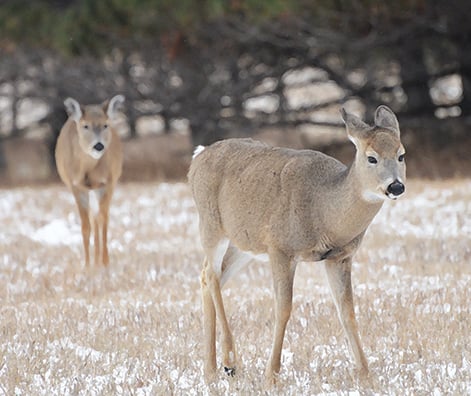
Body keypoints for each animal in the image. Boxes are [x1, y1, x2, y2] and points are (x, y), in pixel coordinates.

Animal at [54, 94, 124, 266]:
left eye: (105, 125)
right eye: (85, 126)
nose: (98, 146)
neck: (88, 170)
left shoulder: (107, 183)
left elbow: (103, 220)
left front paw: (104, 263)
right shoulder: (76, 186)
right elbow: (85, 226)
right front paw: (87, 266)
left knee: (98, 217)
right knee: (93, 218)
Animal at [188, 104, 406, 384]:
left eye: (401, 155)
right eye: (371, 158)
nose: (396, 186)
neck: (324, 210)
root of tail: (198, 156)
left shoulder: (340, 256)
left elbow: (347, 311)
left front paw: (365, 373)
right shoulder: (281, 248)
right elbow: (283, 308)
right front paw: (271, 374)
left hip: (244, 242)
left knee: (208, 275)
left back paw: (210, 369)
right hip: (211, 224)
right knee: (212, 276)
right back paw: (230, 361)